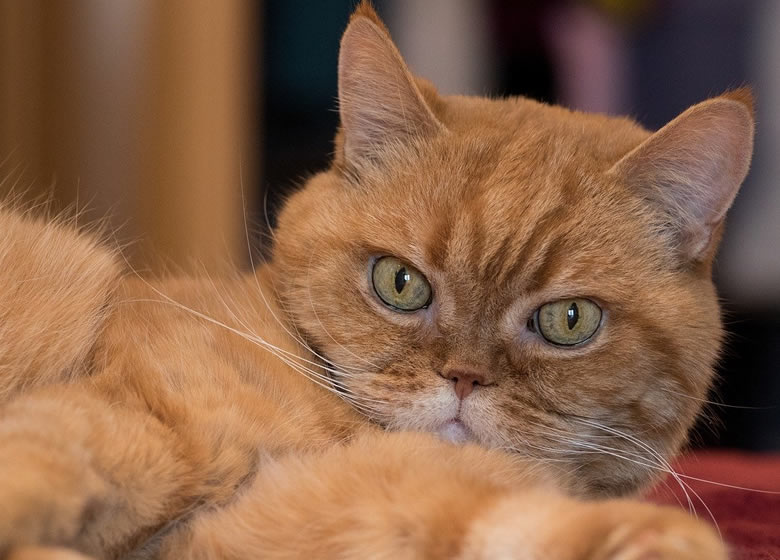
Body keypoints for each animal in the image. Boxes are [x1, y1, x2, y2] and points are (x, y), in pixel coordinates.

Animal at [0, 1, 756, 560]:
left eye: (569, 320)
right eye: (400, 283)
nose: (463, 379)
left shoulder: (317, 504)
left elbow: (500, 522)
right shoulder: (129, 419)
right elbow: (38, 464)